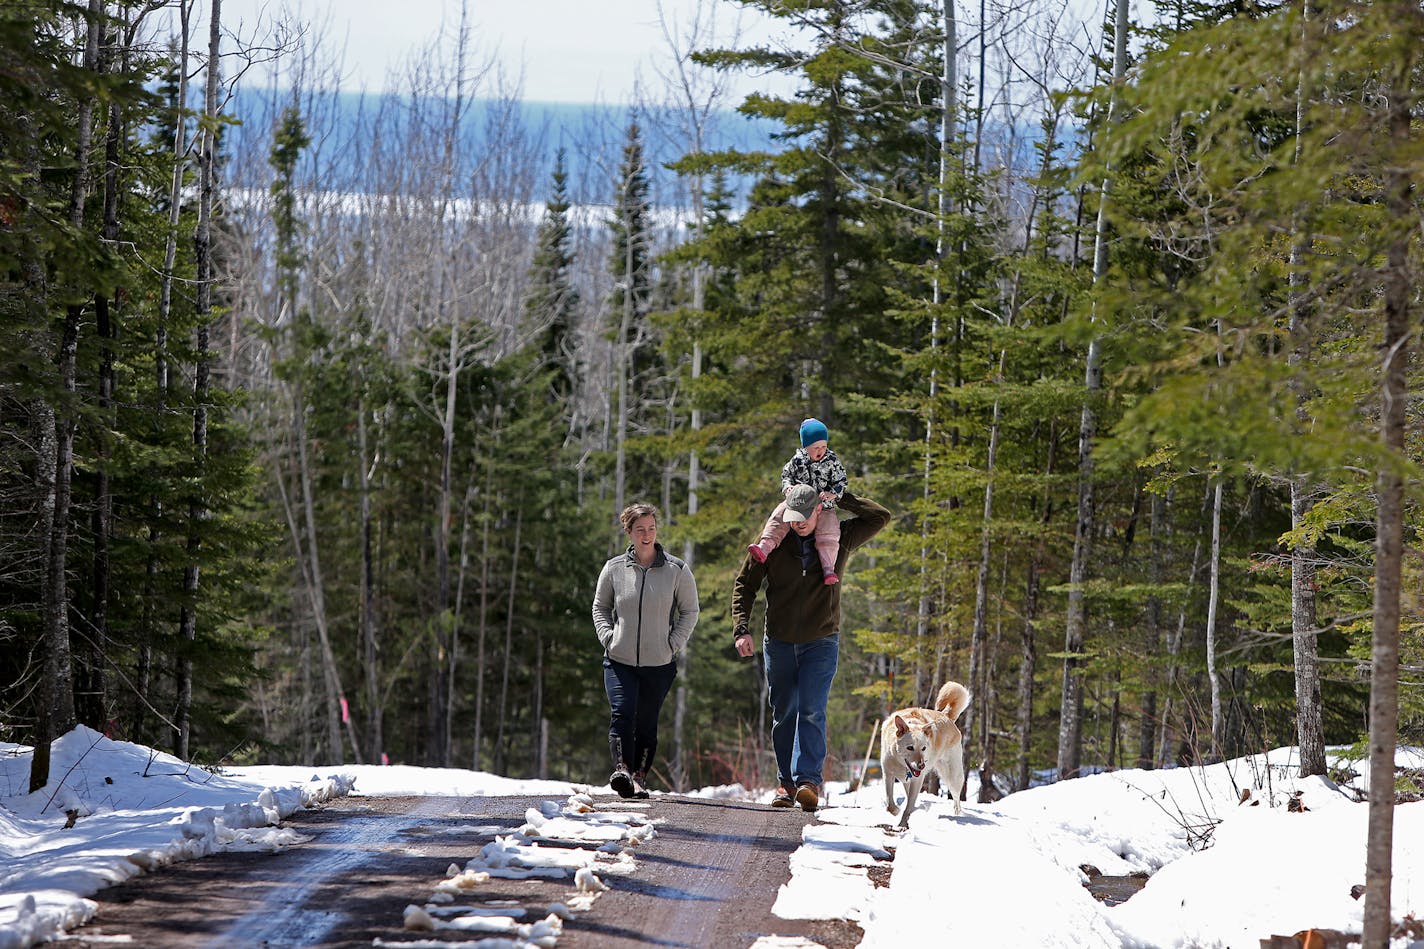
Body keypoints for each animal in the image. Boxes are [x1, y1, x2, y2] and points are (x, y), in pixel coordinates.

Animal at [877, 675, 968, 826]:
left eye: (924, 748)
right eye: (910, 747)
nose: (921, 766)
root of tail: (947, 716)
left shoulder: (917, 781)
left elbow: (908, 807)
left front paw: (903, 824)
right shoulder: (888, 774)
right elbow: (890, 803)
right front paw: (896, 811)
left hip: (952, 775)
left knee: (956, 797)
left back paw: (957, 813)